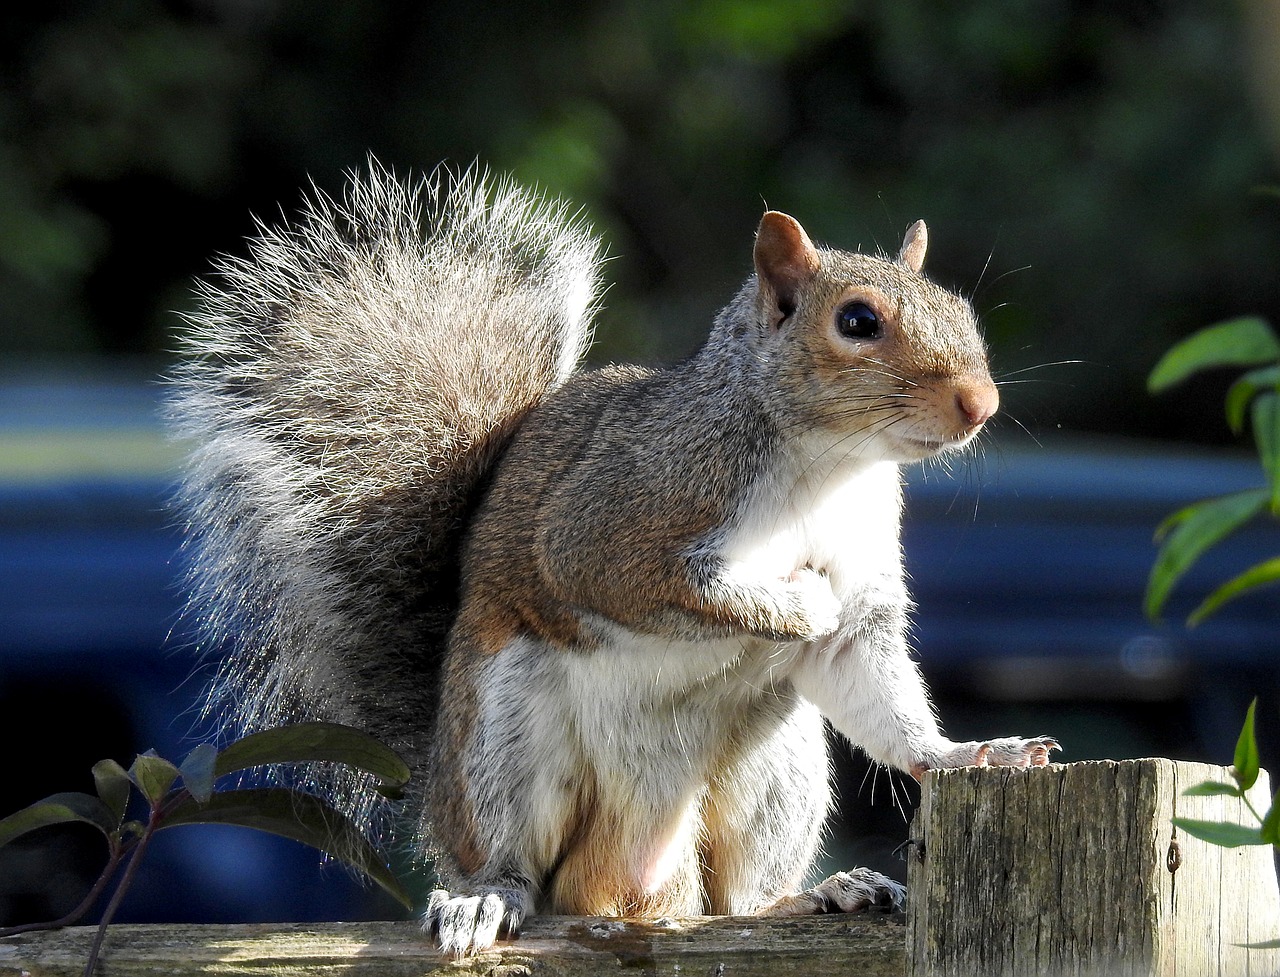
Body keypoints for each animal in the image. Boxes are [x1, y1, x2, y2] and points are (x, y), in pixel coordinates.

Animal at [167, 162, 1059, 957]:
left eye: (961, 307)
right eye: (859, 322)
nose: (982, 402)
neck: (830, 467)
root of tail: (633, 873)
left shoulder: (862, 579)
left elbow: (875, 687)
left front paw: (966, 753)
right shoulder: (611, 523)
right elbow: (662, 583)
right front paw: (796, 604)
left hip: (775, 769)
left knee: (740, 900)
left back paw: (818, 892)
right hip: (503, 731)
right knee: (515, 859)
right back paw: (486, 897)